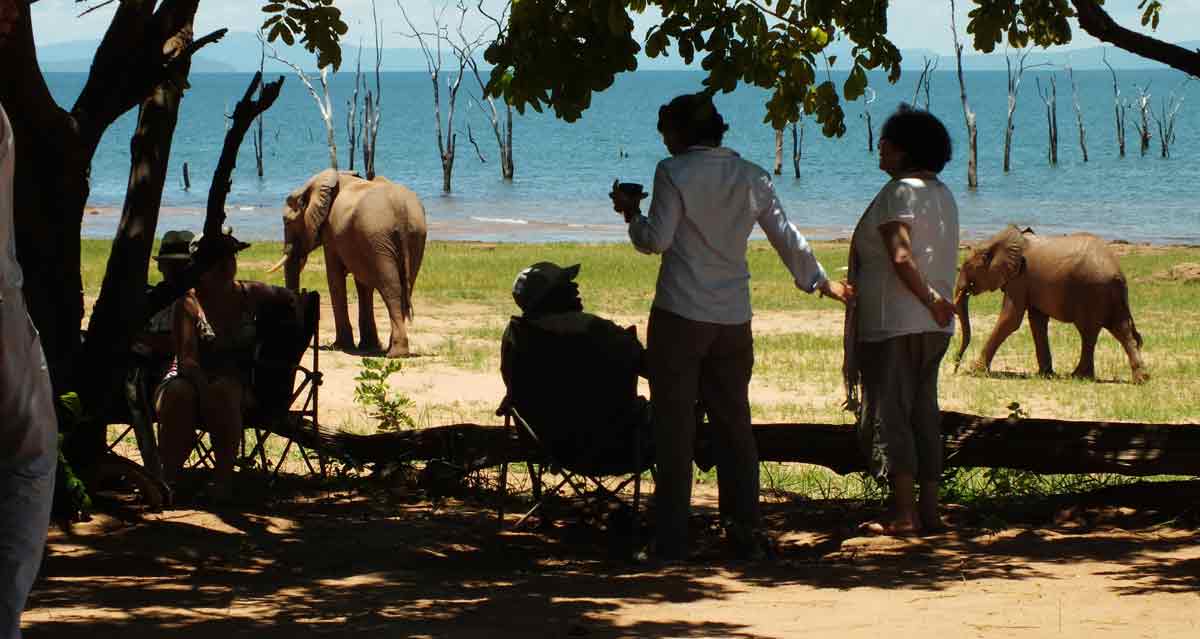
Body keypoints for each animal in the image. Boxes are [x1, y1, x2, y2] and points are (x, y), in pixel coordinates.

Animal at [271, 169, 427, 357]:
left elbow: (334, 277)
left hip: (378, 236)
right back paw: (393, 349)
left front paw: (339, 346)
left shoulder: (332, 233)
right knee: (406, 287)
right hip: (413, 235)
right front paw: (368, 346)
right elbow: (363, 284)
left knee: (392, 288)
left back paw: (396, 353)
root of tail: (401, 209)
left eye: (286, 221)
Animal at [955, 225, 1142, 381]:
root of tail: (1118, 273)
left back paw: (1078, 376)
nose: (956, 368)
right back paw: (1139, 379)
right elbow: (1037, 322)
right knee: (1120, 330)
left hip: (1093, 292)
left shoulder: (1020, 278)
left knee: (1089, 332)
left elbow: (1011, 319)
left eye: (966, 266)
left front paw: (975, 371)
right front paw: (1045, 374)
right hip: (1109, 296)